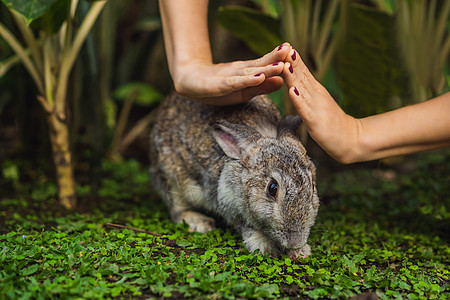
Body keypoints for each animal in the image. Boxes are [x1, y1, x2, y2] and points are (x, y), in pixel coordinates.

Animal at [149, 92, 318, 258]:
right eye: (272, 189)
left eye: (312, 186)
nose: (295, 242)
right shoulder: (227, 202)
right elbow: (246, 226)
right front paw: (264, 247)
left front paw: (300, 252)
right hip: (170, 178)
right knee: (177, 208)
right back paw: (199, 222)